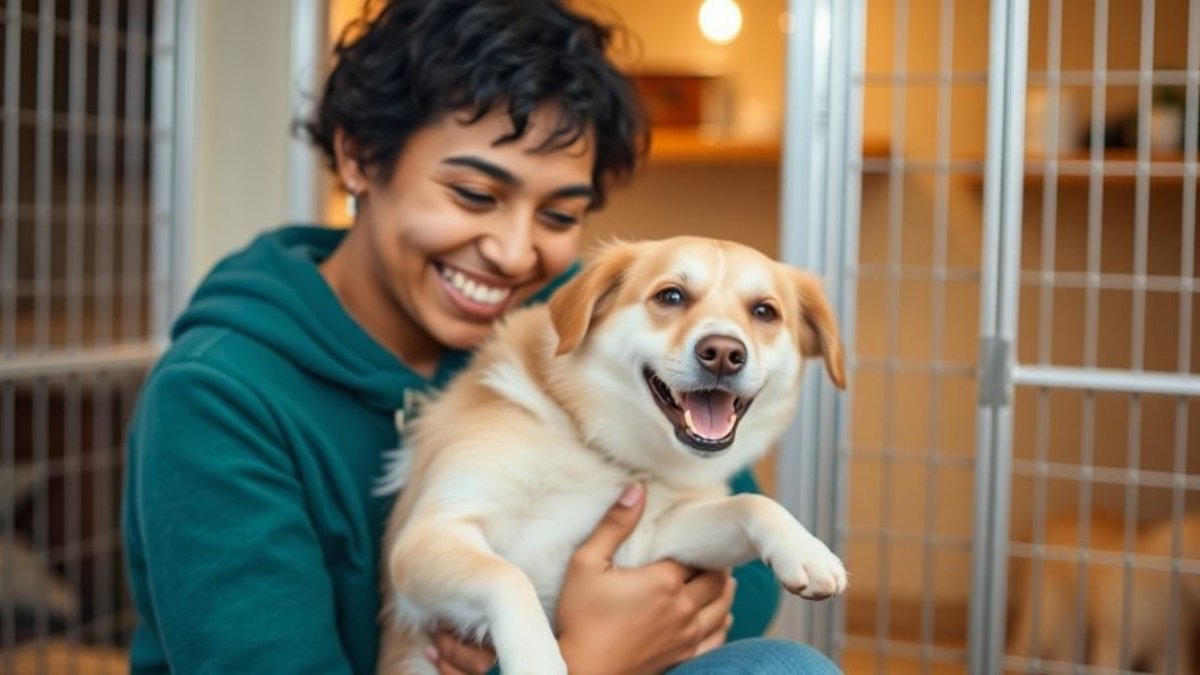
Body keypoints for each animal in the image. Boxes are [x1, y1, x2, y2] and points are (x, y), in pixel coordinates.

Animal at [376, 237, 854, 672]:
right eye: (671, 296)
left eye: (764, 311)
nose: (723, 353)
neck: (598, 445)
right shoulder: (426, 536)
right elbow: (507, 576)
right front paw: (539, 661)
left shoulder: (650, 540)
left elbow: (750, 504)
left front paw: (805, 549)